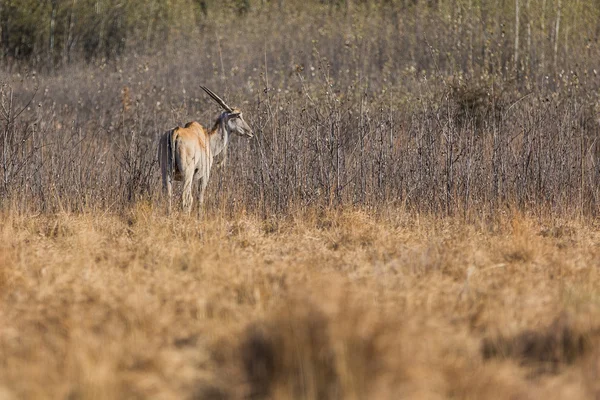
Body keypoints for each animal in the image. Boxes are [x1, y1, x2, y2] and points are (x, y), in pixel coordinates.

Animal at [158, 86, 252, 214]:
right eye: (238, 116)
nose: (250, 132)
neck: (207, 138)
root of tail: (175, 132)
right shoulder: (204, 176)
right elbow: (199, 198)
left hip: (166, 173)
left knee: (168, 196)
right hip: (187, 174)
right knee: (186, 197)